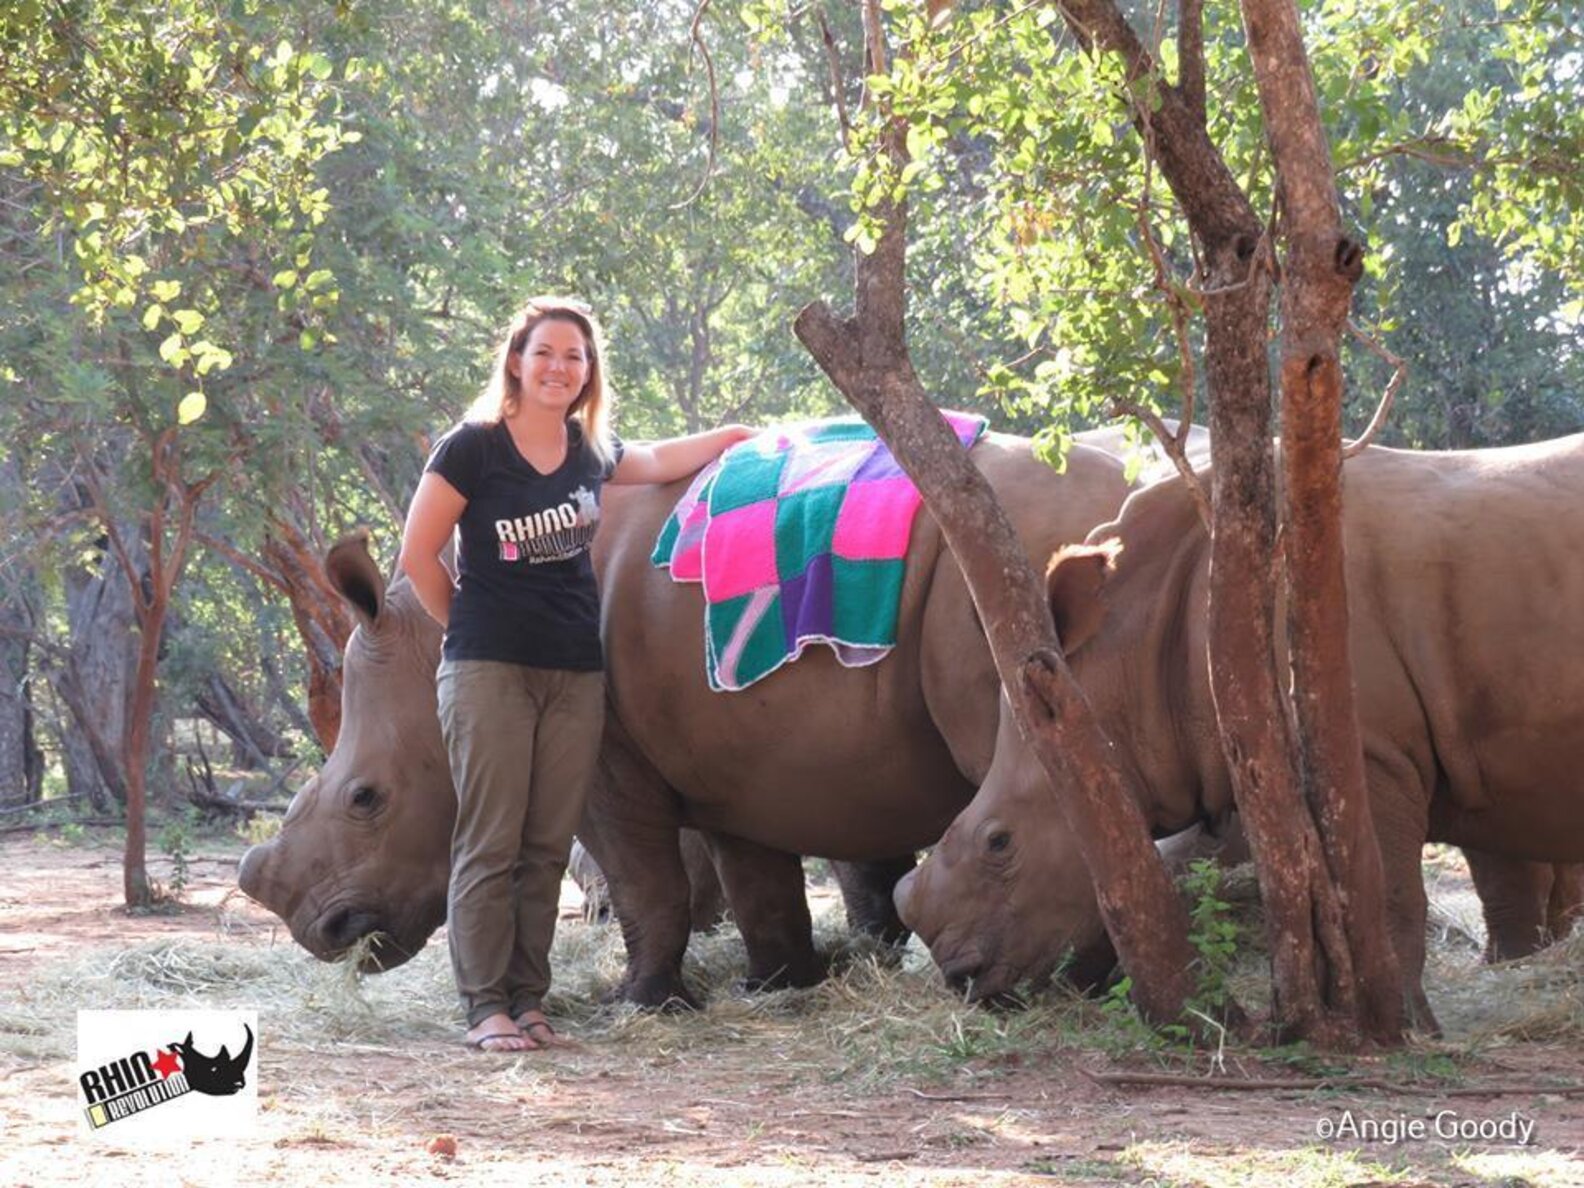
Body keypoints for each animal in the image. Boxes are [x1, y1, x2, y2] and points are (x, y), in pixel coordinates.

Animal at [238, 428, 1140, 1004]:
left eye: (367, 799)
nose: (325, 934)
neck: (448, 637)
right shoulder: (741, 753)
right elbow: (756, 881)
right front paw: (775, 986)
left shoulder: (602, 755)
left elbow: (646, 883)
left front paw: (643, 1003)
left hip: (1004, 571)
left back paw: (1081, 987)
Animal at [893, 433, 1584, 1027]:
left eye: (999, 843)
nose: (962, 979)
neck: (1128, 658)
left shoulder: (1368, 748)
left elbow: (1383, 892)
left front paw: (1403, 1028)